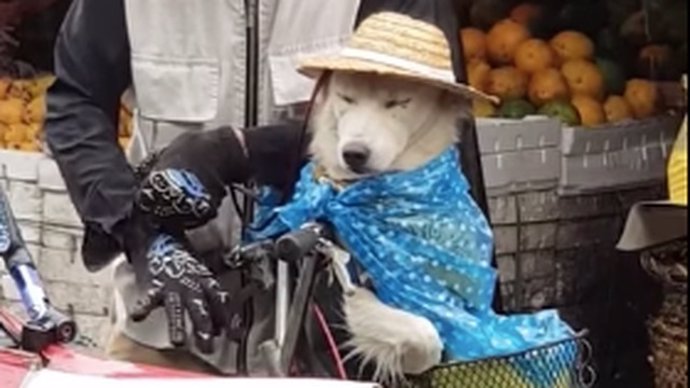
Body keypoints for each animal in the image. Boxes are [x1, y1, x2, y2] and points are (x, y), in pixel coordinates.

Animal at [308, 71, 472, 384]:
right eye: (347, 98)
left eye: (398, 102)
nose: (354, 153)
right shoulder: (349, 287)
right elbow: (425, 335)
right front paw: (409, 364)